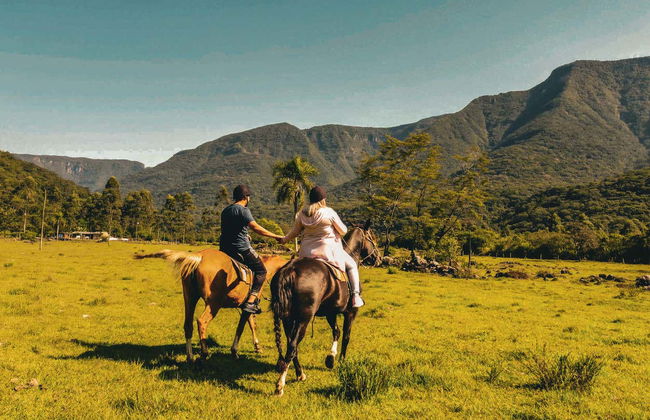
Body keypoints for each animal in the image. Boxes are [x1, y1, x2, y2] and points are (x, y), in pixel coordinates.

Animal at [135, 249, 287, 363]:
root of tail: (199, 256)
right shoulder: (246, 307)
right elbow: (242, 327)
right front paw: (235, 351)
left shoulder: (245, 307)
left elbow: (251, 324)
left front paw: (257, 346)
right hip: (214, 303)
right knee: (202, 321)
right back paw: (204, 353)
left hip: (190, 298)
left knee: (188, 324)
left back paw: (190, 357)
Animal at [271, 223, 381, 396]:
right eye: (372, 237)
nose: (379, 258)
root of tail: (289, 270)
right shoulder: (350, 312)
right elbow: (346, 336)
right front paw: (341, 360)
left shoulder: (331, 313)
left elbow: (336, 332)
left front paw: (331, 358)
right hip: (303, 318)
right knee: (293, 345)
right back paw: (280, 385)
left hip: (287, 318)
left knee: (291, 344)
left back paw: (300, 373)